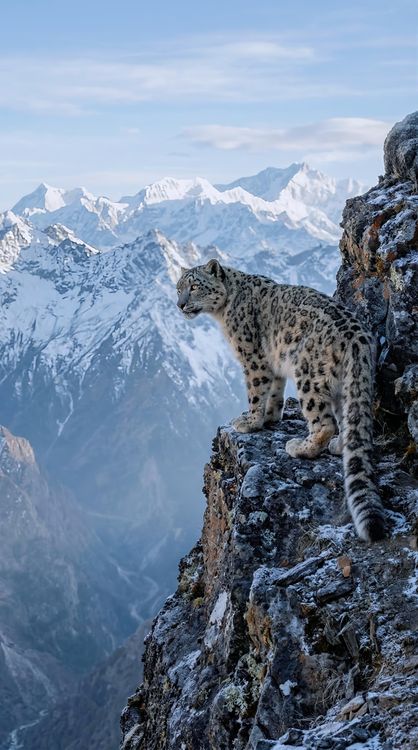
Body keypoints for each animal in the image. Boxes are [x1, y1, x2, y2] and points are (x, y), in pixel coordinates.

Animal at [176, 259, 386, 542]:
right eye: (178, 288)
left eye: (194, 286)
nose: (180, 305)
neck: (223, 313)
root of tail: (358, 337)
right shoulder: (274, 363)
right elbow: (274, 392)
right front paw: (270, 417)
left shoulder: (253, 358)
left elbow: (255, 391)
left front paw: (249, 421)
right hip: (346, 386)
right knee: (348, 420)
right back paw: (338, 445)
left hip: (308, 375)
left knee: (324, 422)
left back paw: (300, 447)